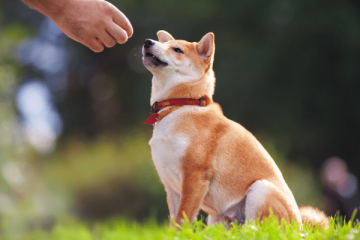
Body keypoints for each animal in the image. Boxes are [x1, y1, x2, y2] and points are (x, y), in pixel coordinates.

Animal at [141, 31, 330, 228]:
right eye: (165, 43)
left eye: (177, 49)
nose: (147, 42)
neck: (180, 105)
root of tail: (299, 226)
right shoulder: (171, 186)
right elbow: (174, 221)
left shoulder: (195, 176)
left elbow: (182, 218)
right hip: (217, 219)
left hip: (260, 189)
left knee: (259, 229)